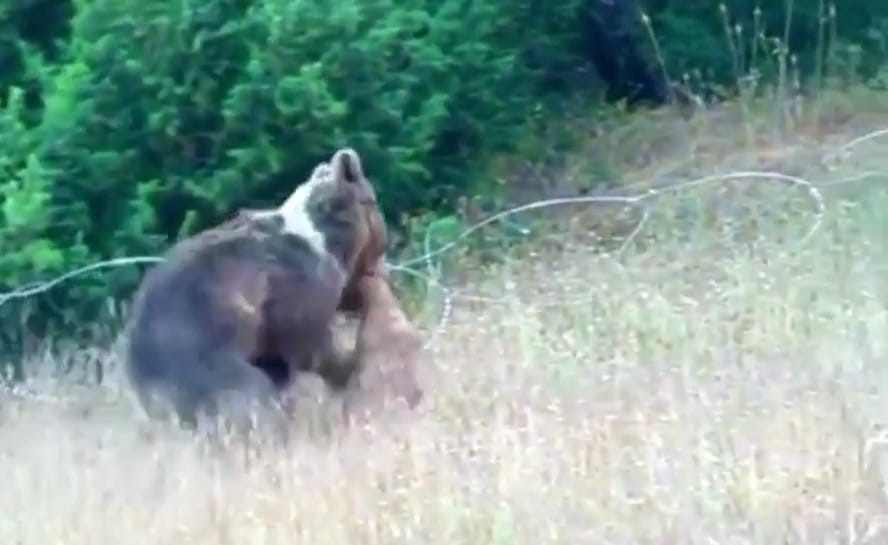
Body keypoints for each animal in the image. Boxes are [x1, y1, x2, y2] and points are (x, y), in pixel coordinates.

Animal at [124, 147, 386, 440]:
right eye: (374, 200)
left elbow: (277, 361)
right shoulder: (297, 288)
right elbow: (309, 343)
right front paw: (347, 366)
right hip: (200, 360)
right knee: (250, 396)